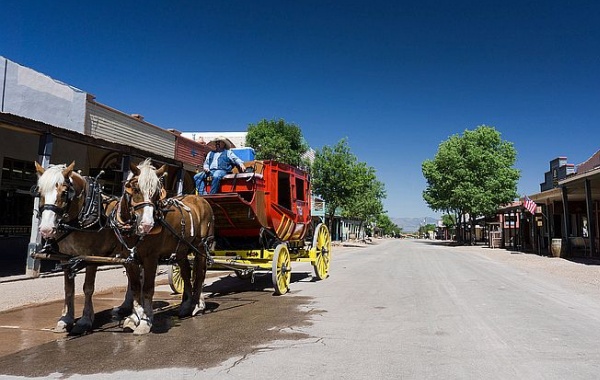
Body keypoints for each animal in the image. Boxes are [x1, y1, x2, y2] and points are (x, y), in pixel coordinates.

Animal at [34, 162, 129, 334]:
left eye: (64, 193)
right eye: (40, 192)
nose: (46, 229)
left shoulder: (91, 257)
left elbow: (88, 288)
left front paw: (85, 320)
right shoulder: (65, 257)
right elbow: (68, 288)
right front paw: (66, 319)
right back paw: (125, 307)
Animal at [113, 159, 216, 334]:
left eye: (156, 193)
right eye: (136, 189)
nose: (147, 225)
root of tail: (200, 199)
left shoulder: (151, 258)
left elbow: (147, 289)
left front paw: (145, 321)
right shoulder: (129, 260)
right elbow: (135, 288)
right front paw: (134, 318)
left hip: (201, 247)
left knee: (200, 274)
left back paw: (197, 305)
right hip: (181, 250)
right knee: (186, 274)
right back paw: (185, 305)